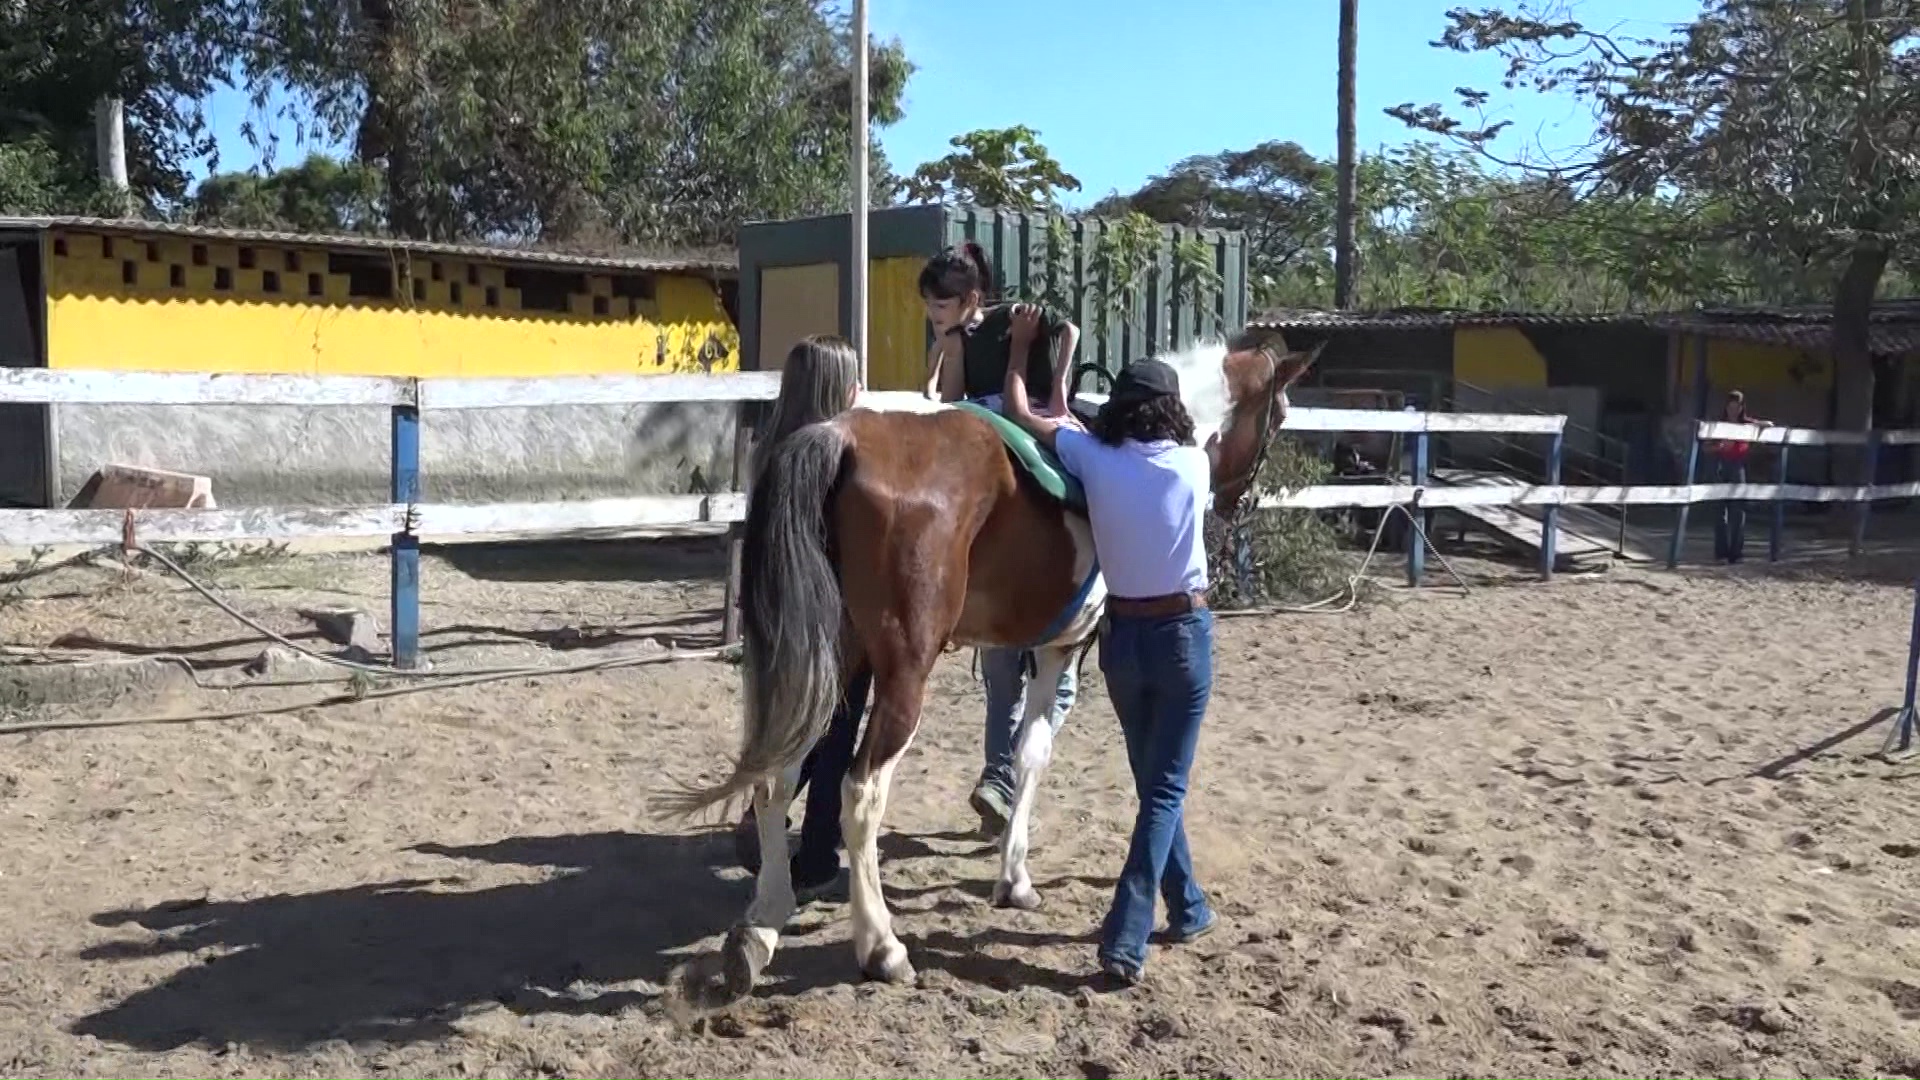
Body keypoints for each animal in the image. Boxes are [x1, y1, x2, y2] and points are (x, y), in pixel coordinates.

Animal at [660, 332, 1320, 999]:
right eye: (1279, 417)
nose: (1241, 501)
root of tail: (841, 436)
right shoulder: (1063, 650)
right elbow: (1036, 753)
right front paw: (1016, 879)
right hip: (901, 676)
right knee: (860, 791)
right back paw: (881, 947)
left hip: (829, 661)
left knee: (777, 777)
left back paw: (761, 927)